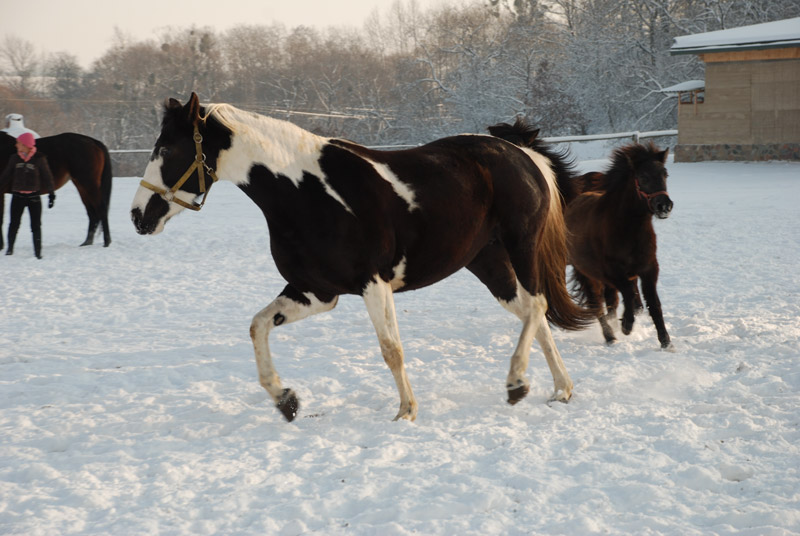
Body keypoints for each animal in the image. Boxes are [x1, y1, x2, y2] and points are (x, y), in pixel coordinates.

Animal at [131, 94, 592, 426]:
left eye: (167, 147)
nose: (138, 216)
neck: (304, 193)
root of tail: (518, 152)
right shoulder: (315, 292)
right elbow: (258, 325)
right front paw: (286, 400)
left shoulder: (373, 283)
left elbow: (391, 349)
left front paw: (406, 411)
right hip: (488, 262)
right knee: (532, 313)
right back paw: (559, 389)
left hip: (520, 245)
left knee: (538, 305)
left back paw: (517, 383)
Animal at [564, 141, 672, 348]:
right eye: (643, 177)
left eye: (665, 174)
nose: (664, 206)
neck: (628, 231)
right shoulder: (611, 272)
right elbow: (628, 293)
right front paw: (627, 325)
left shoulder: (649, 269)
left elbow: (654, 304)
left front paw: (666, 342)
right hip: (587, 274)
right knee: (597, 305)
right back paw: (610, 335)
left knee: (610, 301)